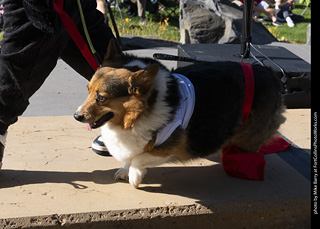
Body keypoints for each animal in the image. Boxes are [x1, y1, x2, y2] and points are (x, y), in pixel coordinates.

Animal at [74, 40, 284, 188]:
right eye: (88, 90)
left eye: (101, 98)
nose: (76, 116)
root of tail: (271, 73)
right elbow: (132, 156)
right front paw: (125, 171)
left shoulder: (167, 148)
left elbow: (139, 158)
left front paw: (134, 176)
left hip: (249, 136)